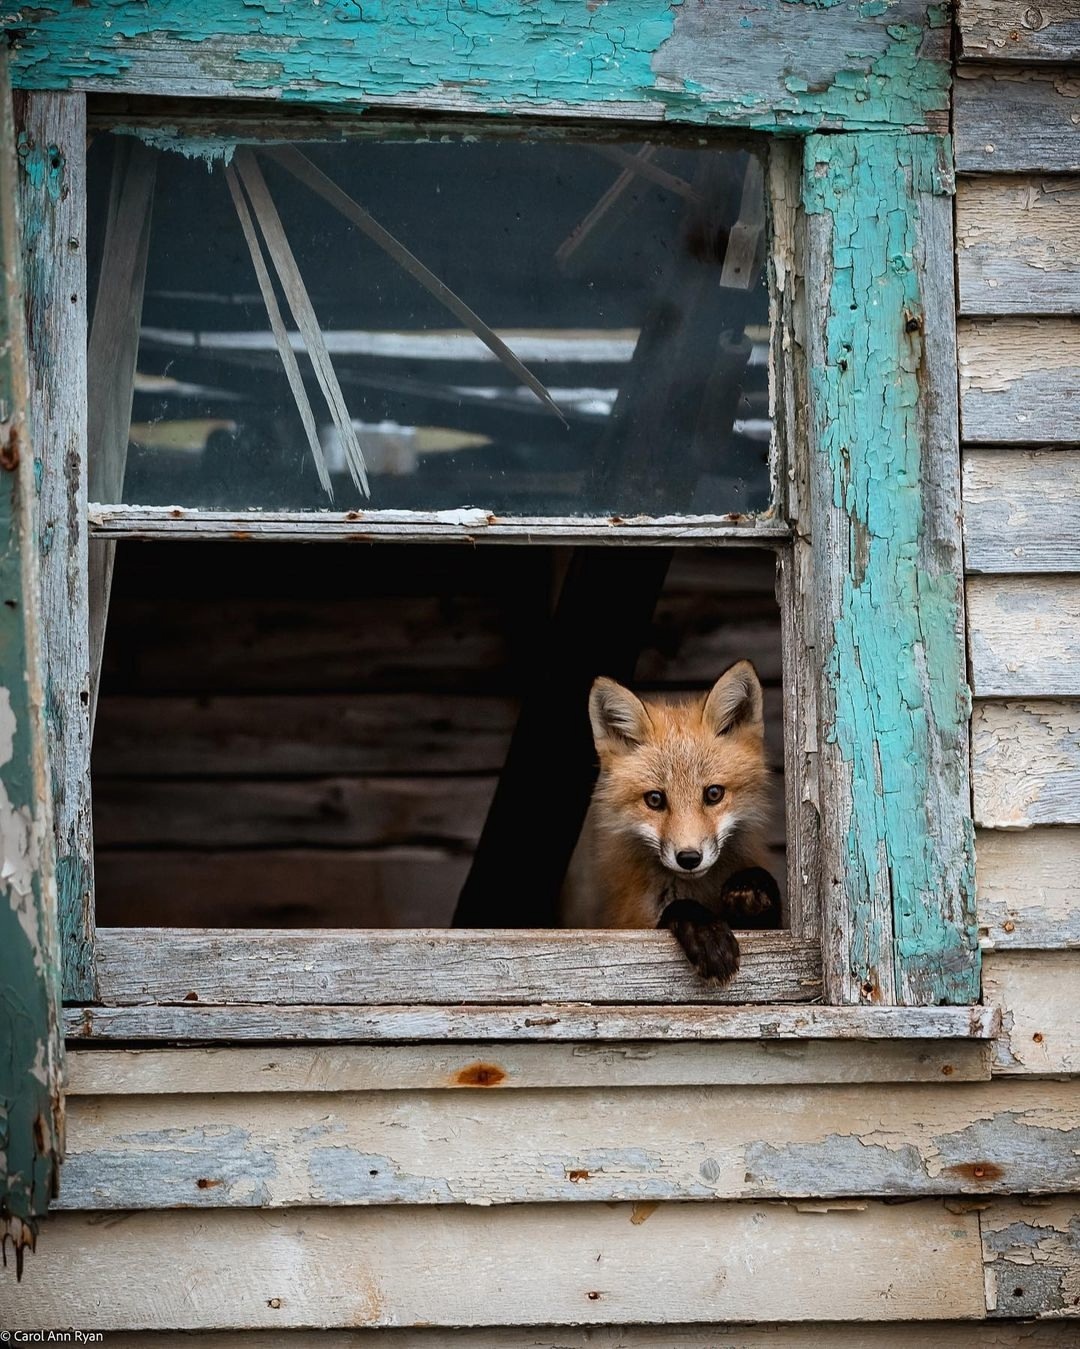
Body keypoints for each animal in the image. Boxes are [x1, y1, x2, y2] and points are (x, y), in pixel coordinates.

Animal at [560, 661, 782, 987]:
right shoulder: (631, 923)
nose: (689, 858)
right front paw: (706, 933)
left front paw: (750, 886)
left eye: (713, 794)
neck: (696, 889)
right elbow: (677, 910)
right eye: (654, 799)